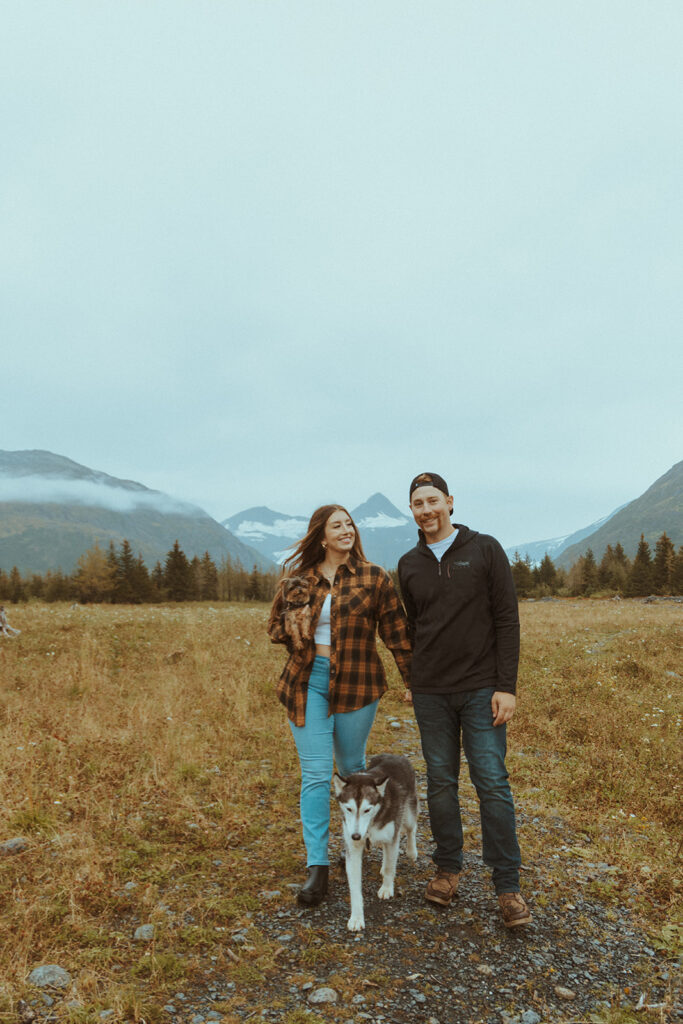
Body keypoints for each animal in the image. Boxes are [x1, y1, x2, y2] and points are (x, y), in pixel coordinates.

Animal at [333, 749, 419, 933]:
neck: (370, 825)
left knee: (411, 829)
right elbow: (355, 888)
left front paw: (386, 888)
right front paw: (356, 917)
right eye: (349, 809)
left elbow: (389, 868)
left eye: (367, 810)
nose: (356, 836)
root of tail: (395, 755)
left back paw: (411, 851)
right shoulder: (353, 849)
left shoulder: (392, 837)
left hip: (407, 814)